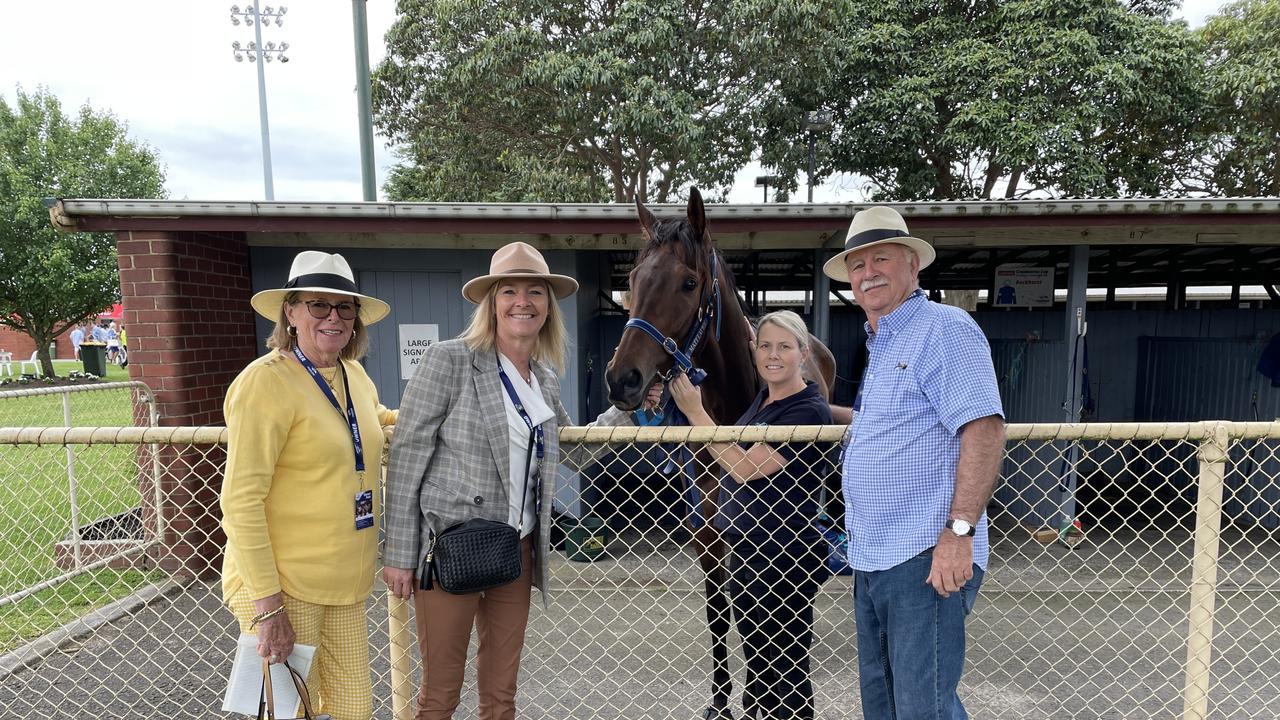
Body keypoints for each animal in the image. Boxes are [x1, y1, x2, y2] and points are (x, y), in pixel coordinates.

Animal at [606, 185, 839, 717]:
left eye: (689, 283)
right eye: (632, 280)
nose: (622, 378)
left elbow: (753, 614)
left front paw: (755, 696)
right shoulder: (708, 536)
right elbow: (721, 613)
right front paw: (721, 701)